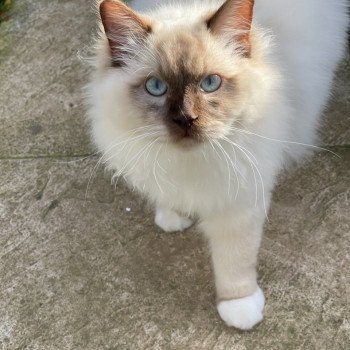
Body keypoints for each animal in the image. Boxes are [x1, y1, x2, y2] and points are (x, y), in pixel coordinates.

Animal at [87, 0, 348, 330]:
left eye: (210, 83)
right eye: (156, 87)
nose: (186, 119)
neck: (189, 161)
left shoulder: (239, 203)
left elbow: (234, 262)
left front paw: (239, 309)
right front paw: (174, 215)